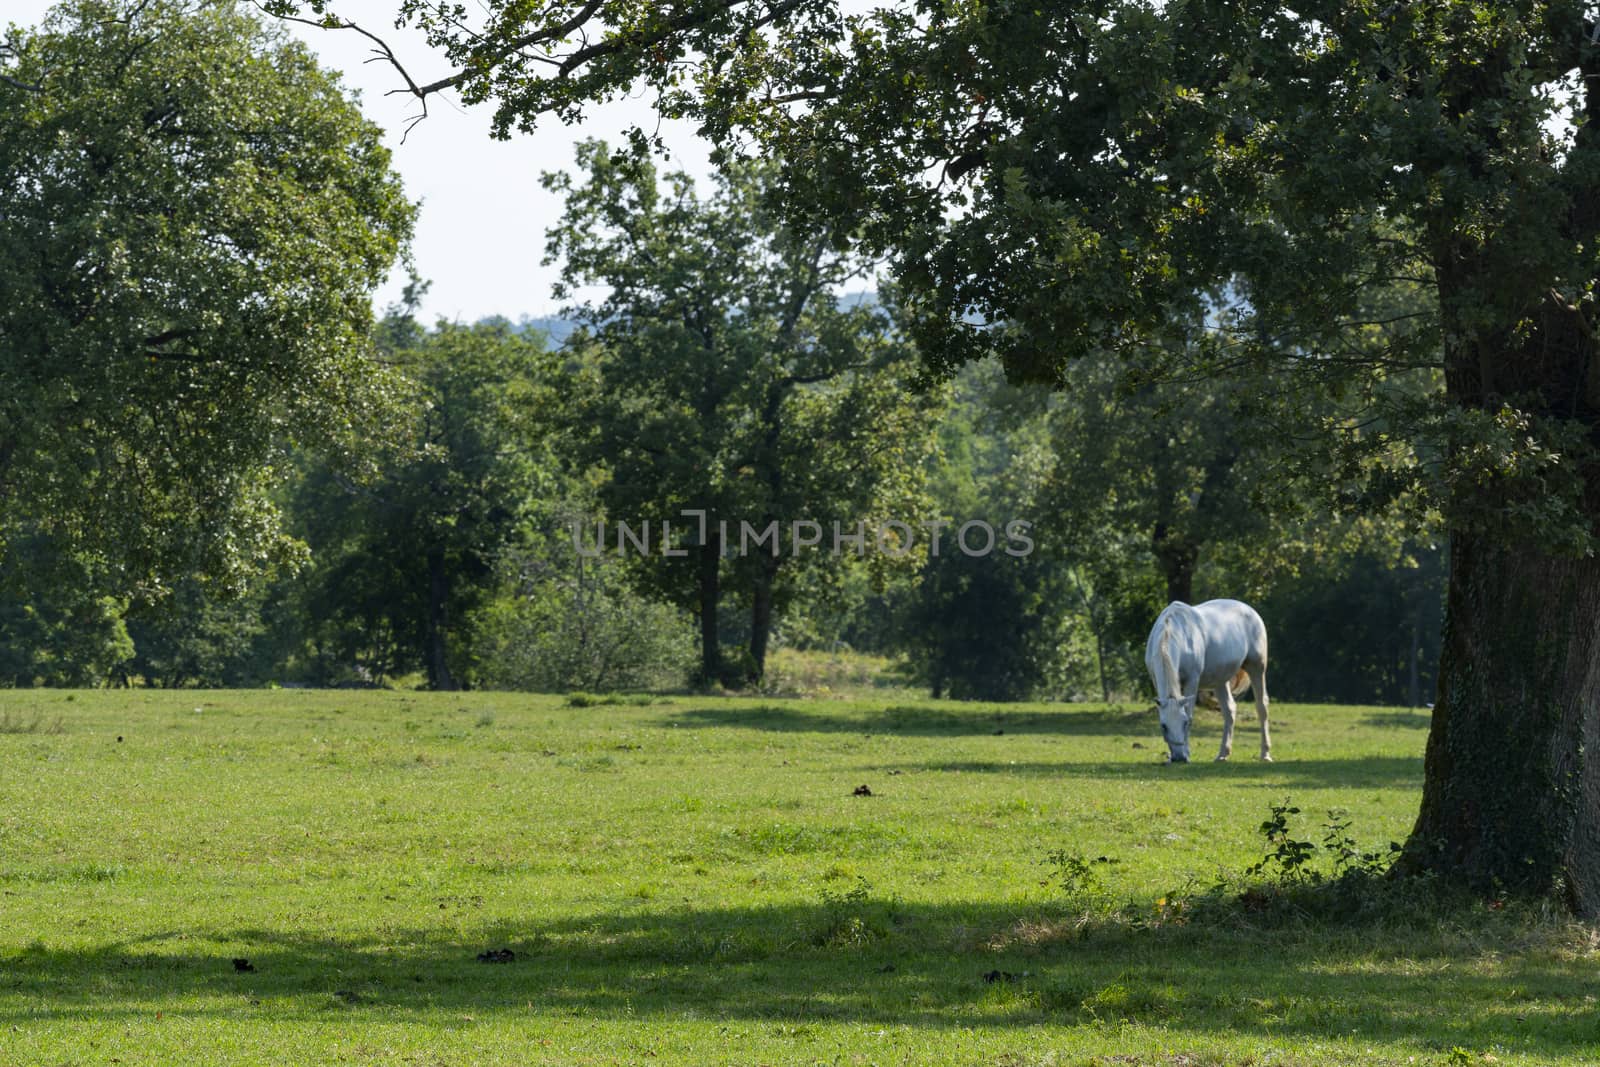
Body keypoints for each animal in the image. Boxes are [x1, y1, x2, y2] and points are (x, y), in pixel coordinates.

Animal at [1139, 601, 1273, 767]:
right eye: (1164, 726)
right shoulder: (1156, 681)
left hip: (1257, 667)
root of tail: (1250, 610)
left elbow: (1189, 712)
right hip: (1220, 680)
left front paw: (1187, 753)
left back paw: (1265, 754)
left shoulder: (1192, 680)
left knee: (1262, 706)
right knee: (1229, 710)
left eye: (1185, 723)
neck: (1171, 630)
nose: (1178, 758)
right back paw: (1222, 755)